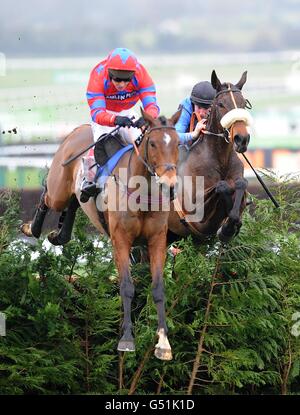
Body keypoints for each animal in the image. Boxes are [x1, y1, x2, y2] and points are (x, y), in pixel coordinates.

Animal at [21, 109, 180, 360]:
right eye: (153, 143)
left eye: (178, 143)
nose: (169, 184)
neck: (140, 192)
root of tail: (79, 129)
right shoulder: (121, 241)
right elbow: (126, 287)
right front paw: (126, 339)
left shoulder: (156, 241)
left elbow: (158, 288)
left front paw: (163, 344)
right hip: (58, 188)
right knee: (48, 193)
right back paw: (32, 228)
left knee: (74, 202)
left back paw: (58, 235)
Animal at [168, 70, 252, 244]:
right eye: (220, 104)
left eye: (243, 104)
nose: (242, 139)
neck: (221, 160)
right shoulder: (196, 214)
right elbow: (222, 186)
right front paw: (227, 228)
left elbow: (241, 183)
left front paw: (229, 227)